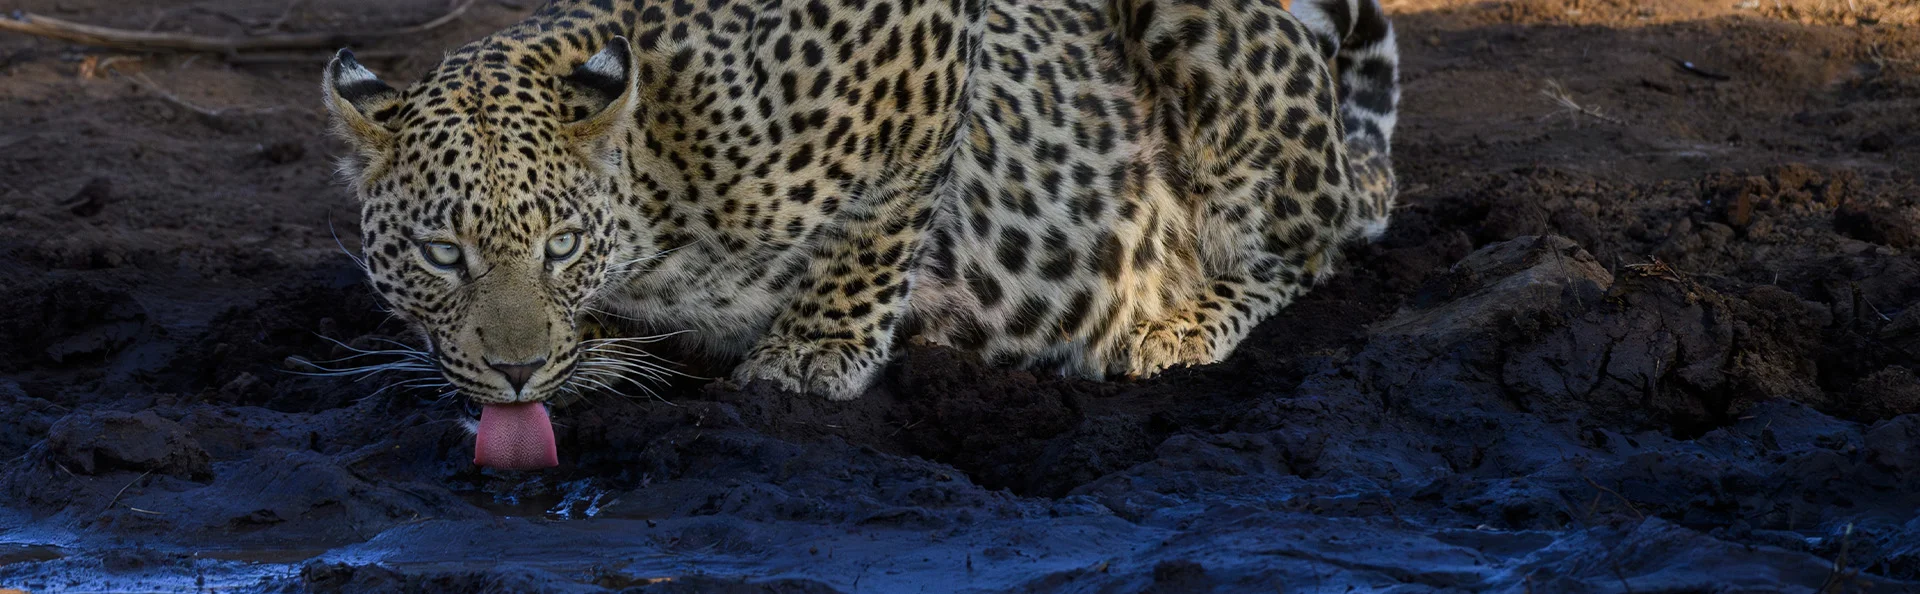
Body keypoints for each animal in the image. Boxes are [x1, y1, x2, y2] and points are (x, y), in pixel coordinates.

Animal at [321, 0, 1400, 407]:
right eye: (442, 254)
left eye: (560, 245)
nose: (512, 374)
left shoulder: (914, 44)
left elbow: (882, 220)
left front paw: (811, 355)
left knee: (1314, 247)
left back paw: (1175, 326)